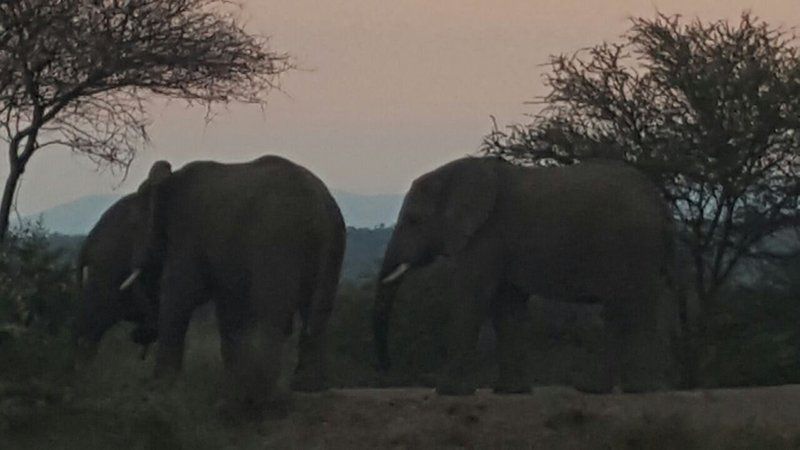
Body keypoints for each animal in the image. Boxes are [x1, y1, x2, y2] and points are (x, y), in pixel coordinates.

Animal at [76, 155, 346, 412]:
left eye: (133, 225)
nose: (139, 335)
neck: (165, 182)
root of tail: (319, 207)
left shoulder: (187, 235)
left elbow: (177, 297)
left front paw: (160, 386)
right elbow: (228, 311)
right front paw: (230, 384)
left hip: (277, 238)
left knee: (272, 312)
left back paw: (261, 394)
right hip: (332, 244)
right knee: (316, 313)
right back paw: (305, 388)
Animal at [376, 156, 680, 396]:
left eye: (414, 220)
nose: (388, 368)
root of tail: (660, 204)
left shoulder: (487, 234)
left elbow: (473, 296)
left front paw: (449, 391)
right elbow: (507, 305)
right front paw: (509, 391)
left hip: (629, 245)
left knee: (625, 307)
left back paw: (606, 389)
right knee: (633, 308)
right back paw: (628, 388)